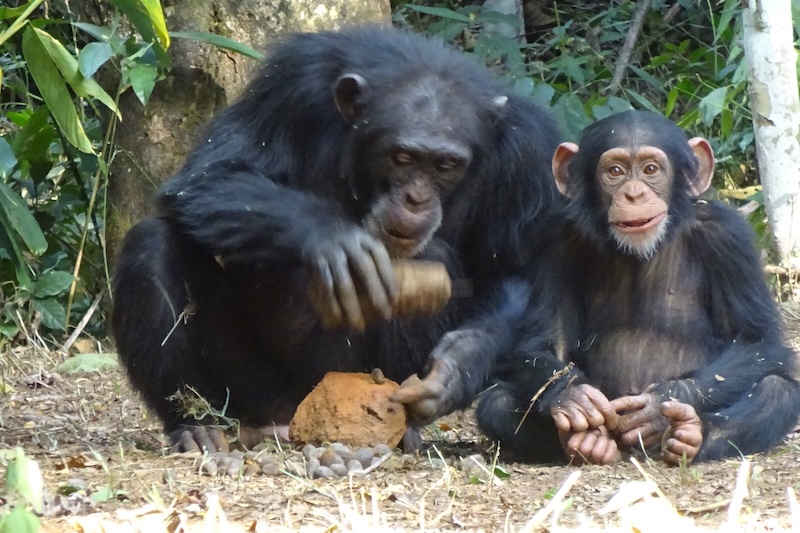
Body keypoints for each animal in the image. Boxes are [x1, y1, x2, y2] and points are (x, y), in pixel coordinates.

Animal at [112, 25, 564, 448]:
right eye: (402, 157)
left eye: (446, 165)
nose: (415, 199)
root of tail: (292, 418)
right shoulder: (290, 84)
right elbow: (210, 175)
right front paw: (332, 239)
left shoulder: (526, 150)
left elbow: (516, 272)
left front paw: (456, 367)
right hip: (249, 392)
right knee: (151, 245)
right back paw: (194, 424)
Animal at [478, 110, 800, 464]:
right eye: (615, 172)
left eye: (650, 169)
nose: (634, 194)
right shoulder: (556, 238)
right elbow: (546, 342)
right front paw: (574, 396)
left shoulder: (729, 236)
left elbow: (756, 339)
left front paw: (659, 404)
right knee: (496, 401)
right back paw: (586, 443)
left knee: (777, 390)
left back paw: (690, 434)